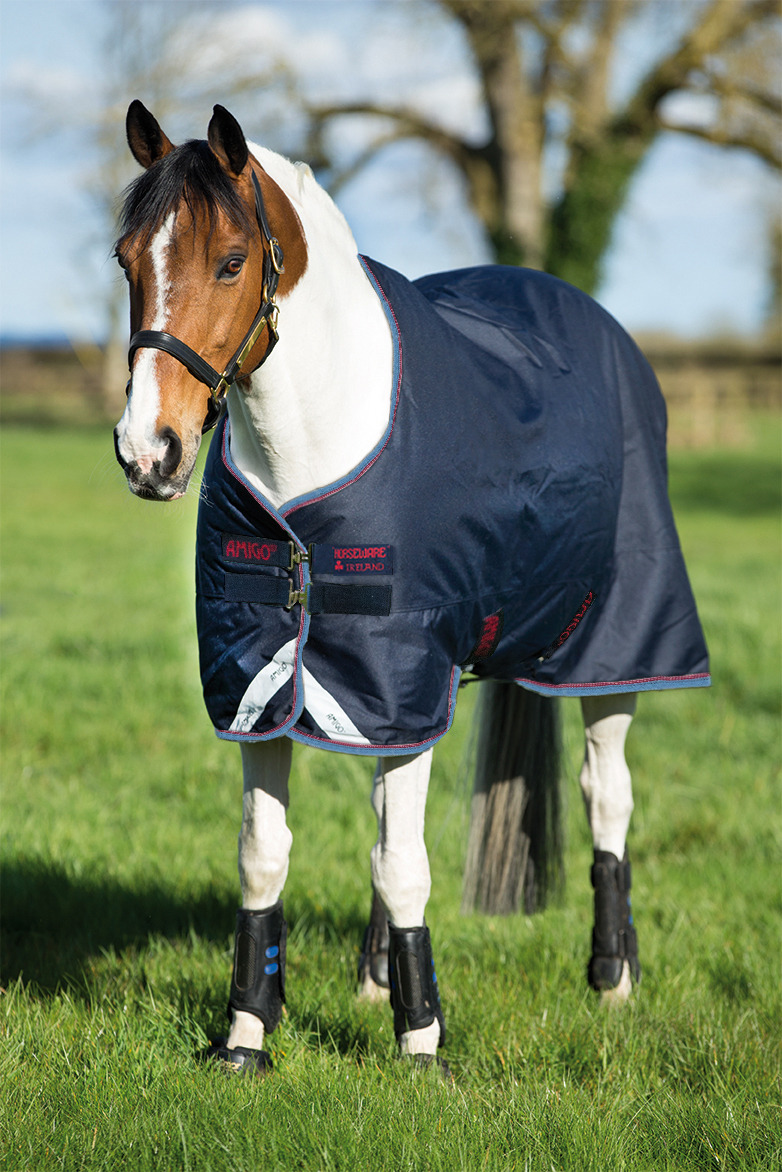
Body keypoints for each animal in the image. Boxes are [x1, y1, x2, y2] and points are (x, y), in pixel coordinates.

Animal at [113, 101, 710, 1076]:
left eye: (231, 262)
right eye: (126, 258)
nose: (147, 451)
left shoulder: (405, 680)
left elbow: (404, 866)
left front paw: (422, 1040)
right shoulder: (271, 690)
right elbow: (266, 855)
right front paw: (246, 1034)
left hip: (613, 651)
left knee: (606, 793)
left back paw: (612, 978)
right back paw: (371, 977)